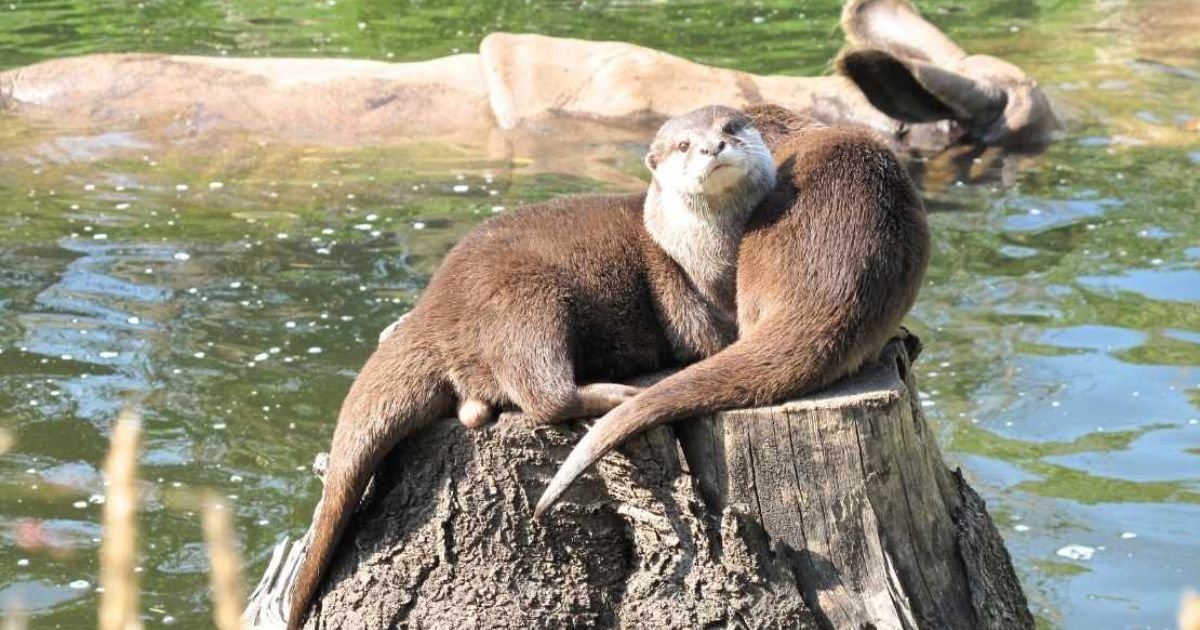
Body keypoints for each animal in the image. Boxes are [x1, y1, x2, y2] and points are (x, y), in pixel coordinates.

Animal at [288, 105, 776, 629]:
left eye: (730, 128)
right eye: (683, 145)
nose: (711, 147)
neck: (712, 252)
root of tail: (433, 309)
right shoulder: (686, 294)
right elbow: (709, 342)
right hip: (527, 303)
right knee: (543, 395)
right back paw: (618, 394)